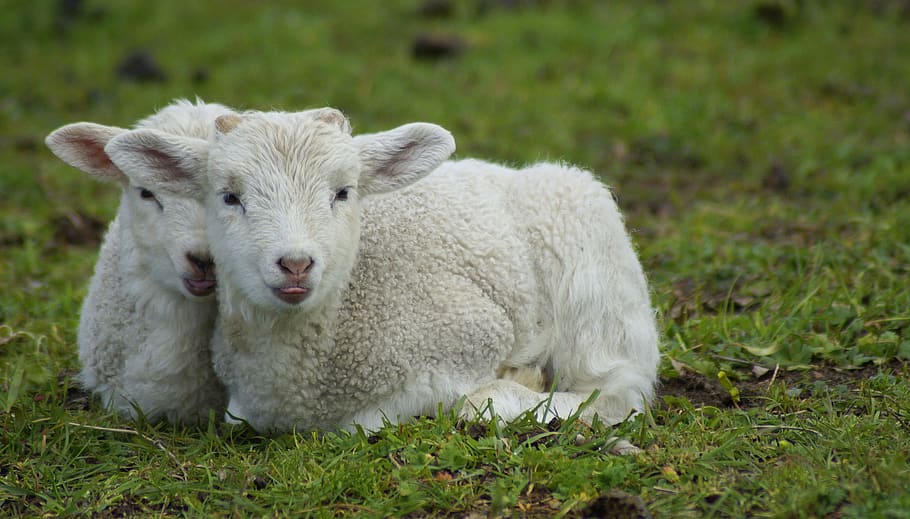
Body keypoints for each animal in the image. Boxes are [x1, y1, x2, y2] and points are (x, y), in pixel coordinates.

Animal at [103, 108, 660, 434]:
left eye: (343, 192)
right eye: (228, 197)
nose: (295, 263)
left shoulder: (471, 334)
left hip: (591, 279)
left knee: (618, 389)